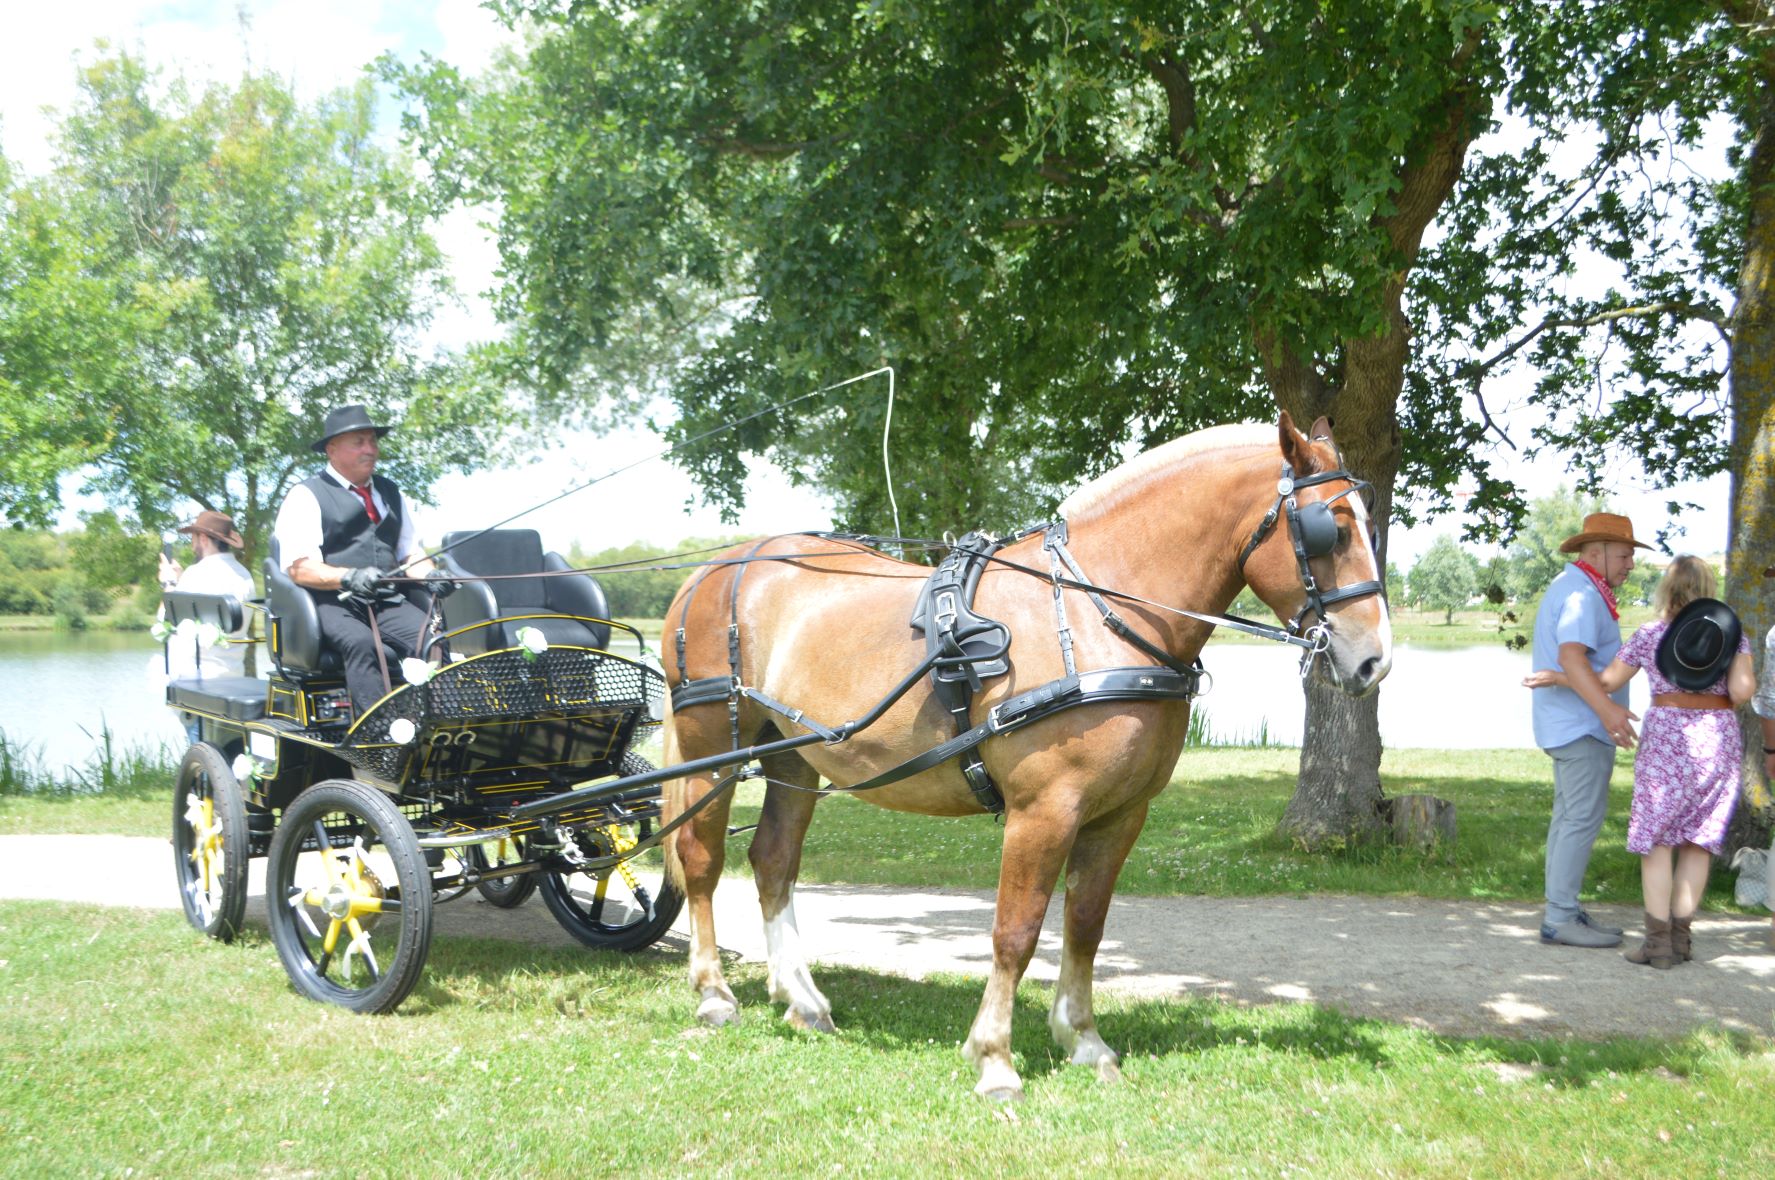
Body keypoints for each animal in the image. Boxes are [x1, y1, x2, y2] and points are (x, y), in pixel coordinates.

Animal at [660, 411, 1391, 1093]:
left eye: (1366, 524)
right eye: (1331, 529)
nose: (1373, 661)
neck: (1094, 616)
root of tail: (714, 570)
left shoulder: (1120, 813)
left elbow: (1085, 924)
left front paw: (1084, 1041)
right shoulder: (1043, 810)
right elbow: (1016, 931)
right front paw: (994, 1058)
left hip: (791, 754)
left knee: (773, 861)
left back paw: (802, 999)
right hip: (711, 745)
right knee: (701, 857)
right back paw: (713, 994)